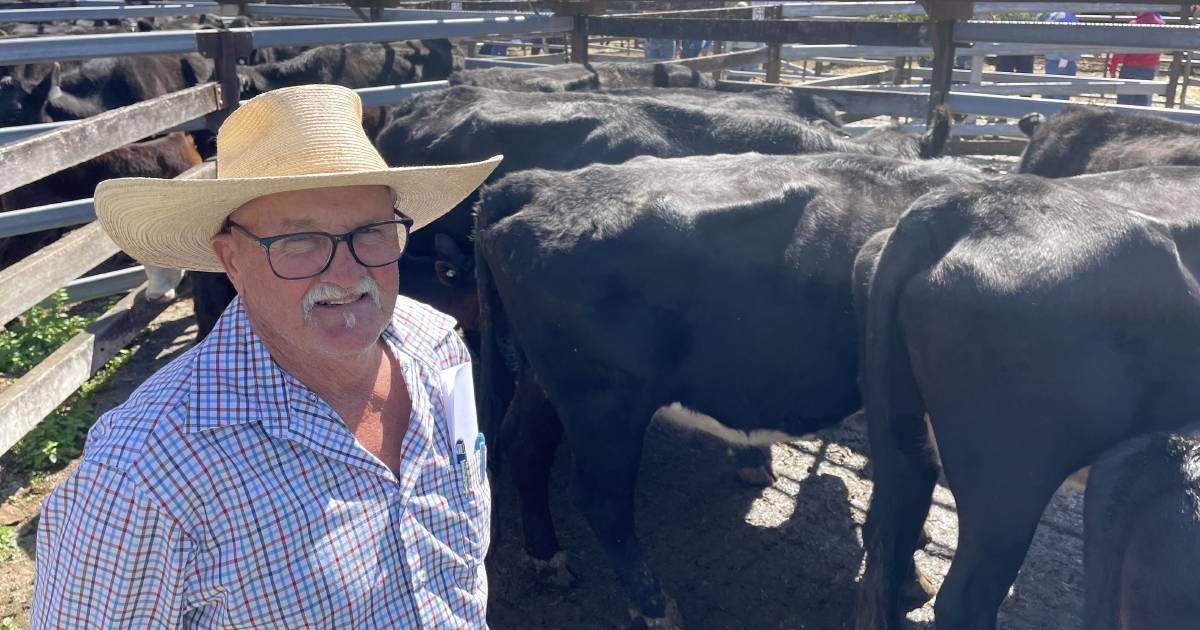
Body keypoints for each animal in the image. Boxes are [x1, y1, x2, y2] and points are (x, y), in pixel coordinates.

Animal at [468, 151, 984, 624]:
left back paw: (547, 559)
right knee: (602, 500)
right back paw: (654, 606)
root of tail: (536, 183)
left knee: (524, 445)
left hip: (545, 380)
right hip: (602, 403)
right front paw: (912, 579)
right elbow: (904, 505)